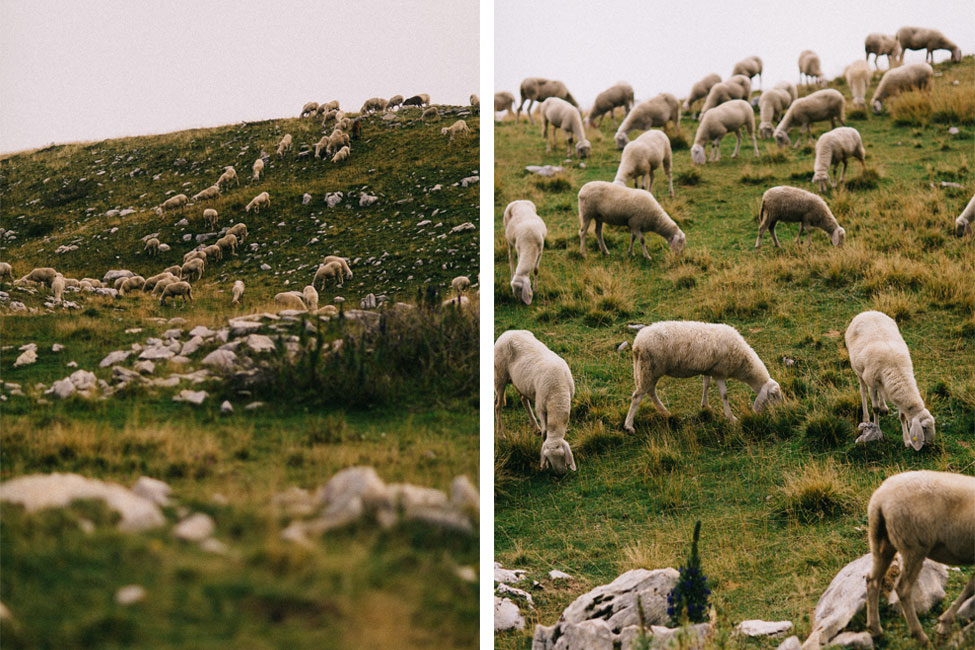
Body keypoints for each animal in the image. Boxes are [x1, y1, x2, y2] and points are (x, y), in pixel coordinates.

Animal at [492, 330, 576, 470]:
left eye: (562, 456)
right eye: (548, 456)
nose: (560, 473)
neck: (558, 393)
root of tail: (507, 332)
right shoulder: (541, 407)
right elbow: (545, 433)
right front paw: (545, 465)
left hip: (520, 382)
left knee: (522, 399)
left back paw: (535, 427)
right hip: (500, 375)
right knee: (498, 406)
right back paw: (501, 434)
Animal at [624, 320, 784, 430]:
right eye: (774, 395)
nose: (781, 411)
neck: (743, 361)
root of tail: (637, 343)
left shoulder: (709, 369)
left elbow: (706, 384)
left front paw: (705, 405)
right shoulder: (720, 372)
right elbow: (724, 395)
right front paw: (731, 418)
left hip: (648, 370)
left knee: (650, 392)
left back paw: (665, 411)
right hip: (649, 369)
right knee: (637, 396)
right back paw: (629, 426)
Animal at [848, 310, 936, 450]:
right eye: (924, 427)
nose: (931, 444)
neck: (896, 370)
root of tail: (867, 312)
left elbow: (902, 416)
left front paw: (907, 441)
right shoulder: (871, 384)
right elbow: (875, 409)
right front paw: (876, 430)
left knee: (880, 392)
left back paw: (884, 406)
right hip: (858, 371)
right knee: (862, 390)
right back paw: (866, 417)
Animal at [864, 466, 972, 644]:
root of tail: (880, 500)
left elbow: (971, 587)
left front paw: (945, 622)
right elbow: (971, 588)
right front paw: (944, 624)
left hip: (881, 541)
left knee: (872, 580)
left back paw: (876, 630)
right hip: (913, 546)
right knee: (902, 588)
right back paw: (920, 636)